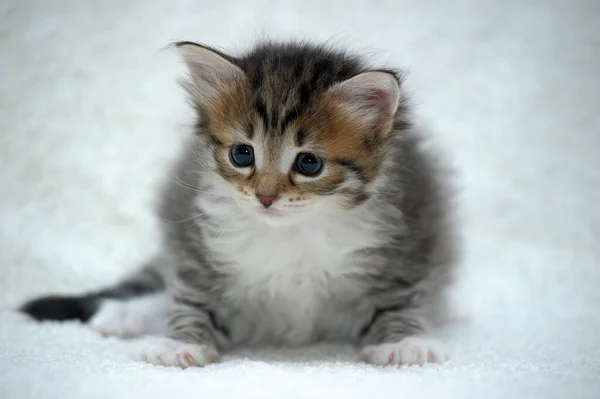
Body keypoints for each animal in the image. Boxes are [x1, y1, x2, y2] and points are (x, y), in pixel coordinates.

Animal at [21, 40, 458, 368]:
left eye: (309, 163)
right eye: (242, 154)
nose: (265, 196)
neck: (290, 232)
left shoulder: (408, 235)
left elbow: (398, 296)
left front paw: (401, 342)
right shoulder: (195, 237)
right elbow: (193, 294)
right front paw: (181, 342)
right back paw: (122, 314)